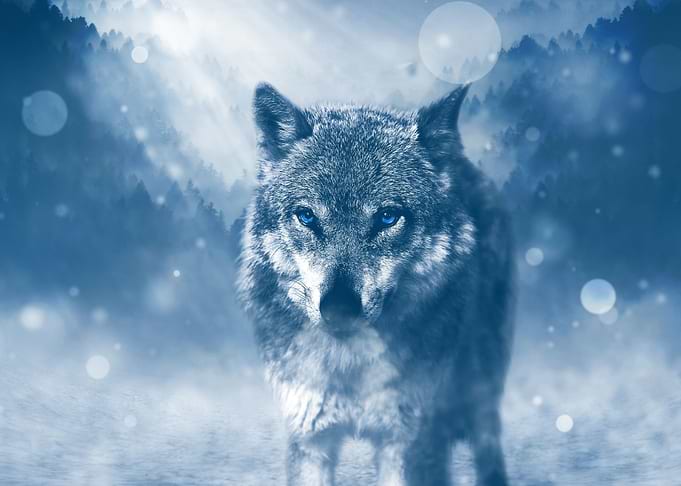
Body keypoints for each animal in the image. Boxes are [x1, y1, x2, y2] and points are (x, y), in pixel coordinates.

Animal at [237, 82, 515, 486]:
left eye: (387, 217)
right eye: (307, 216)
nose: (339, 308)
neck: (349, 365)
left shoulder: (408, 441)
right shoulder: (310, 437)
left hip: (480, 385)